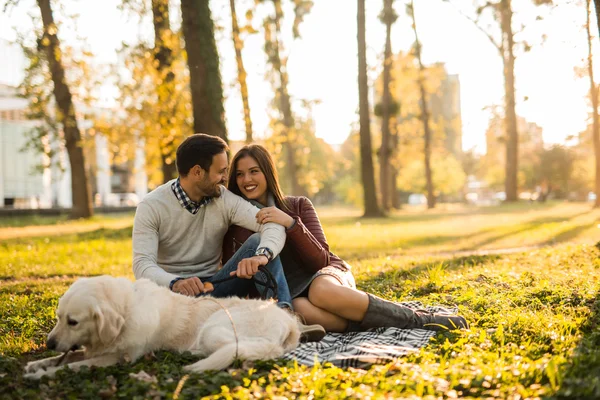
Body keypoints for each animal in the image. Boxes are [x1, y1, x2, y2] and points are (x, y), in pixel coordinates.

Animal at [23, 276, 300, 378]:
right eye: (58, 317)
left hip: (213, 327)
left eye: (73, 322)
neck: (126, 311)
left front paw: (40, 374)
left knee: (236, 348)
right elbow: (66, 358)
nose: (49, 343)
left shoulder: (119, 358)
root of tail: (289, 323)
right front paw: (36, 364)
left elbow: (71, 366)